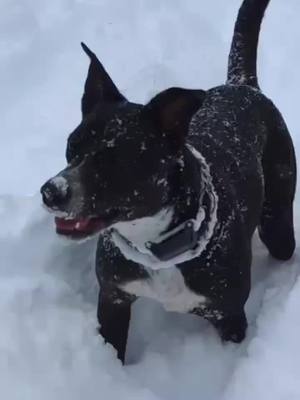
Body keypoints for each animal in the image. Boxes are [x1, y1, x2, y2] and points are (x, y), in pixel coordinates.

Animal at [41, 0, 296, 364]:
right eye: (71, 147)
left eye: (115, 159)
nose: (51, 192)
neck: (153, 246)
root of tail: (242, 85)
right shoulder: (113, 297)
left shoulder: (229, 316)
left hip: (278, 217)